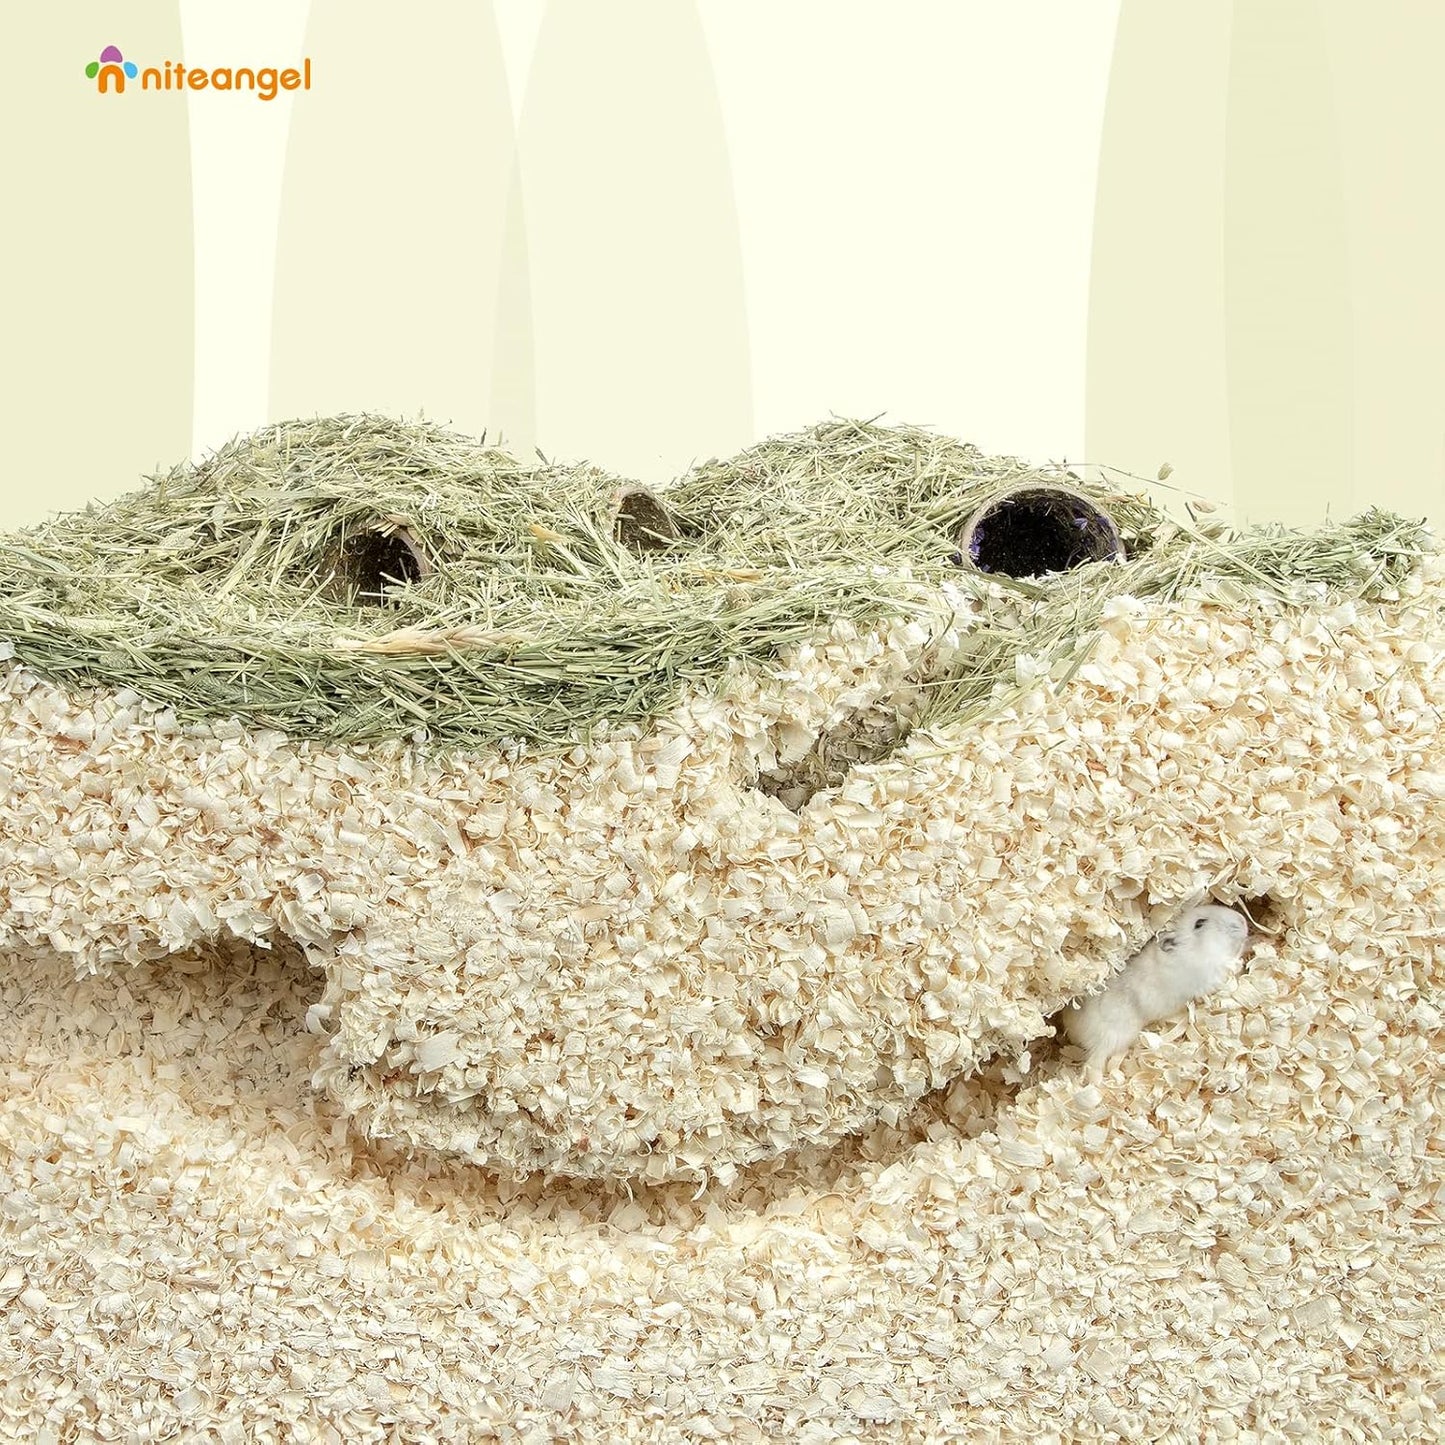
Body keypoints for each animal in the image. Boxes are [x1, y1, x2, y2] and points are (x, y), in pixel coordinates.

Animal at [1061, 905, 1250, 1071]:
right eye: (1199, 923)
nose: (1243, 920)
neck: (1192, 953)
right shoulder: (1208, 978)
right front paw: (1239, 964)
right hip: (1114, 1037)